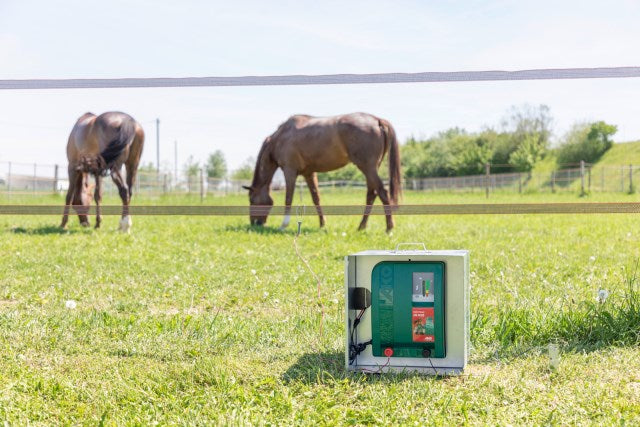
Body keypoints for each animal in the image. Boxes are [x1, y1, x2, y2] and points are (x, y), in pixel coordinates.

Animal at [244, 110, 400, 231]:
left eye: (251, 199)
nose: (255, 223)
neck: (280, 137)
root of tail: (377, 120)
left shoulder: (289, 172)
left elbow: (288, 198)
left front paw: (283, 225)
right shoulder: (309, 173)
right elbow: (316, 198)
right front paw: (322, 224)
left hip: (368, 168)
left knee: (382, 192)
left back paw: (389, 228)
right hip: (371, 169)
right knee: (371, 194)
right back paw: (361, 226)